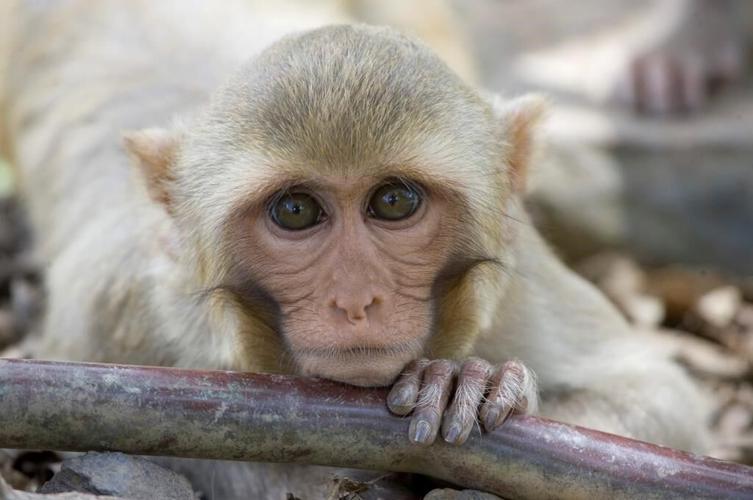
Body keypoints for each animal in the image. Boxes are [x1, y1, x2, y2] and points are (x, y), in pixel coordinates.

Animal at [0, 1, 709, 497]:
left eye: (393, 201)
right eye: (295, 211)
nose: (355, 299)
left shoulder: (518, 280)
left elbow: (657, 399)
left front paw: (468, 383)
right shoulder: (113, 312)